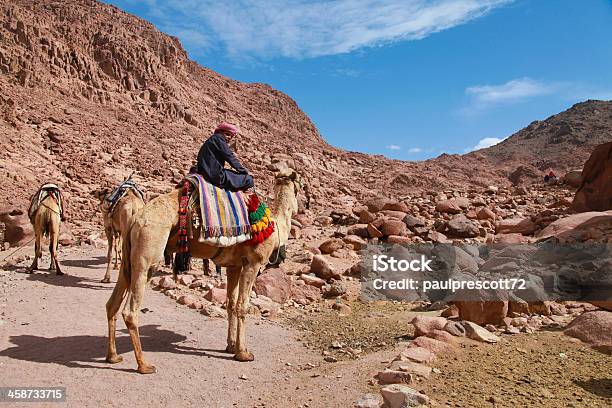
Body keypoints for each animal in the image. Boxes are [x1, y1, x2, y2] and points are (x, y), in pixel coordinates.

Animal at [105, 168, 302, 372]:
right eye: (299, 187)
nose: (299, 208)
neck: (274, 225)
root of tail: (136, 218)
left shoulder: (234, 266)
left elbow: (231, 303)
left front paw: (230, 346)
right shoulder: (252, 263)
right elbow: (242, 305)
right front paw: (243, 353)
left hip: (129, 257)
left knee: (112, 303)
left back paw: (113, 356)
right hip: (148, 253)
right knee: (130, 311)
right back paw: (144, 365)